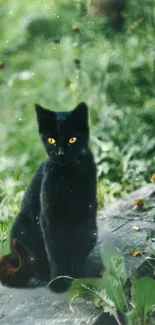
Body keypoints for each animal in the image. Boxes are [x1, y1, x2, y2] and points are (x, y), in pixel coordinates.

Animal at [0, 101, 97, 292]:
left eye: (72, 139)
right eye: (51, 140)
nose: (60, 153)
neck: (69, 178)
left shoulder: (86, 215)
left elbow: (78, 251)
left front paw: (78, 279)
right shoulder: (49, 218)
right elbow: (55, 253)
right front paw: (59, 281)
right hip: (21, 229)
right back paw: (44, 274)